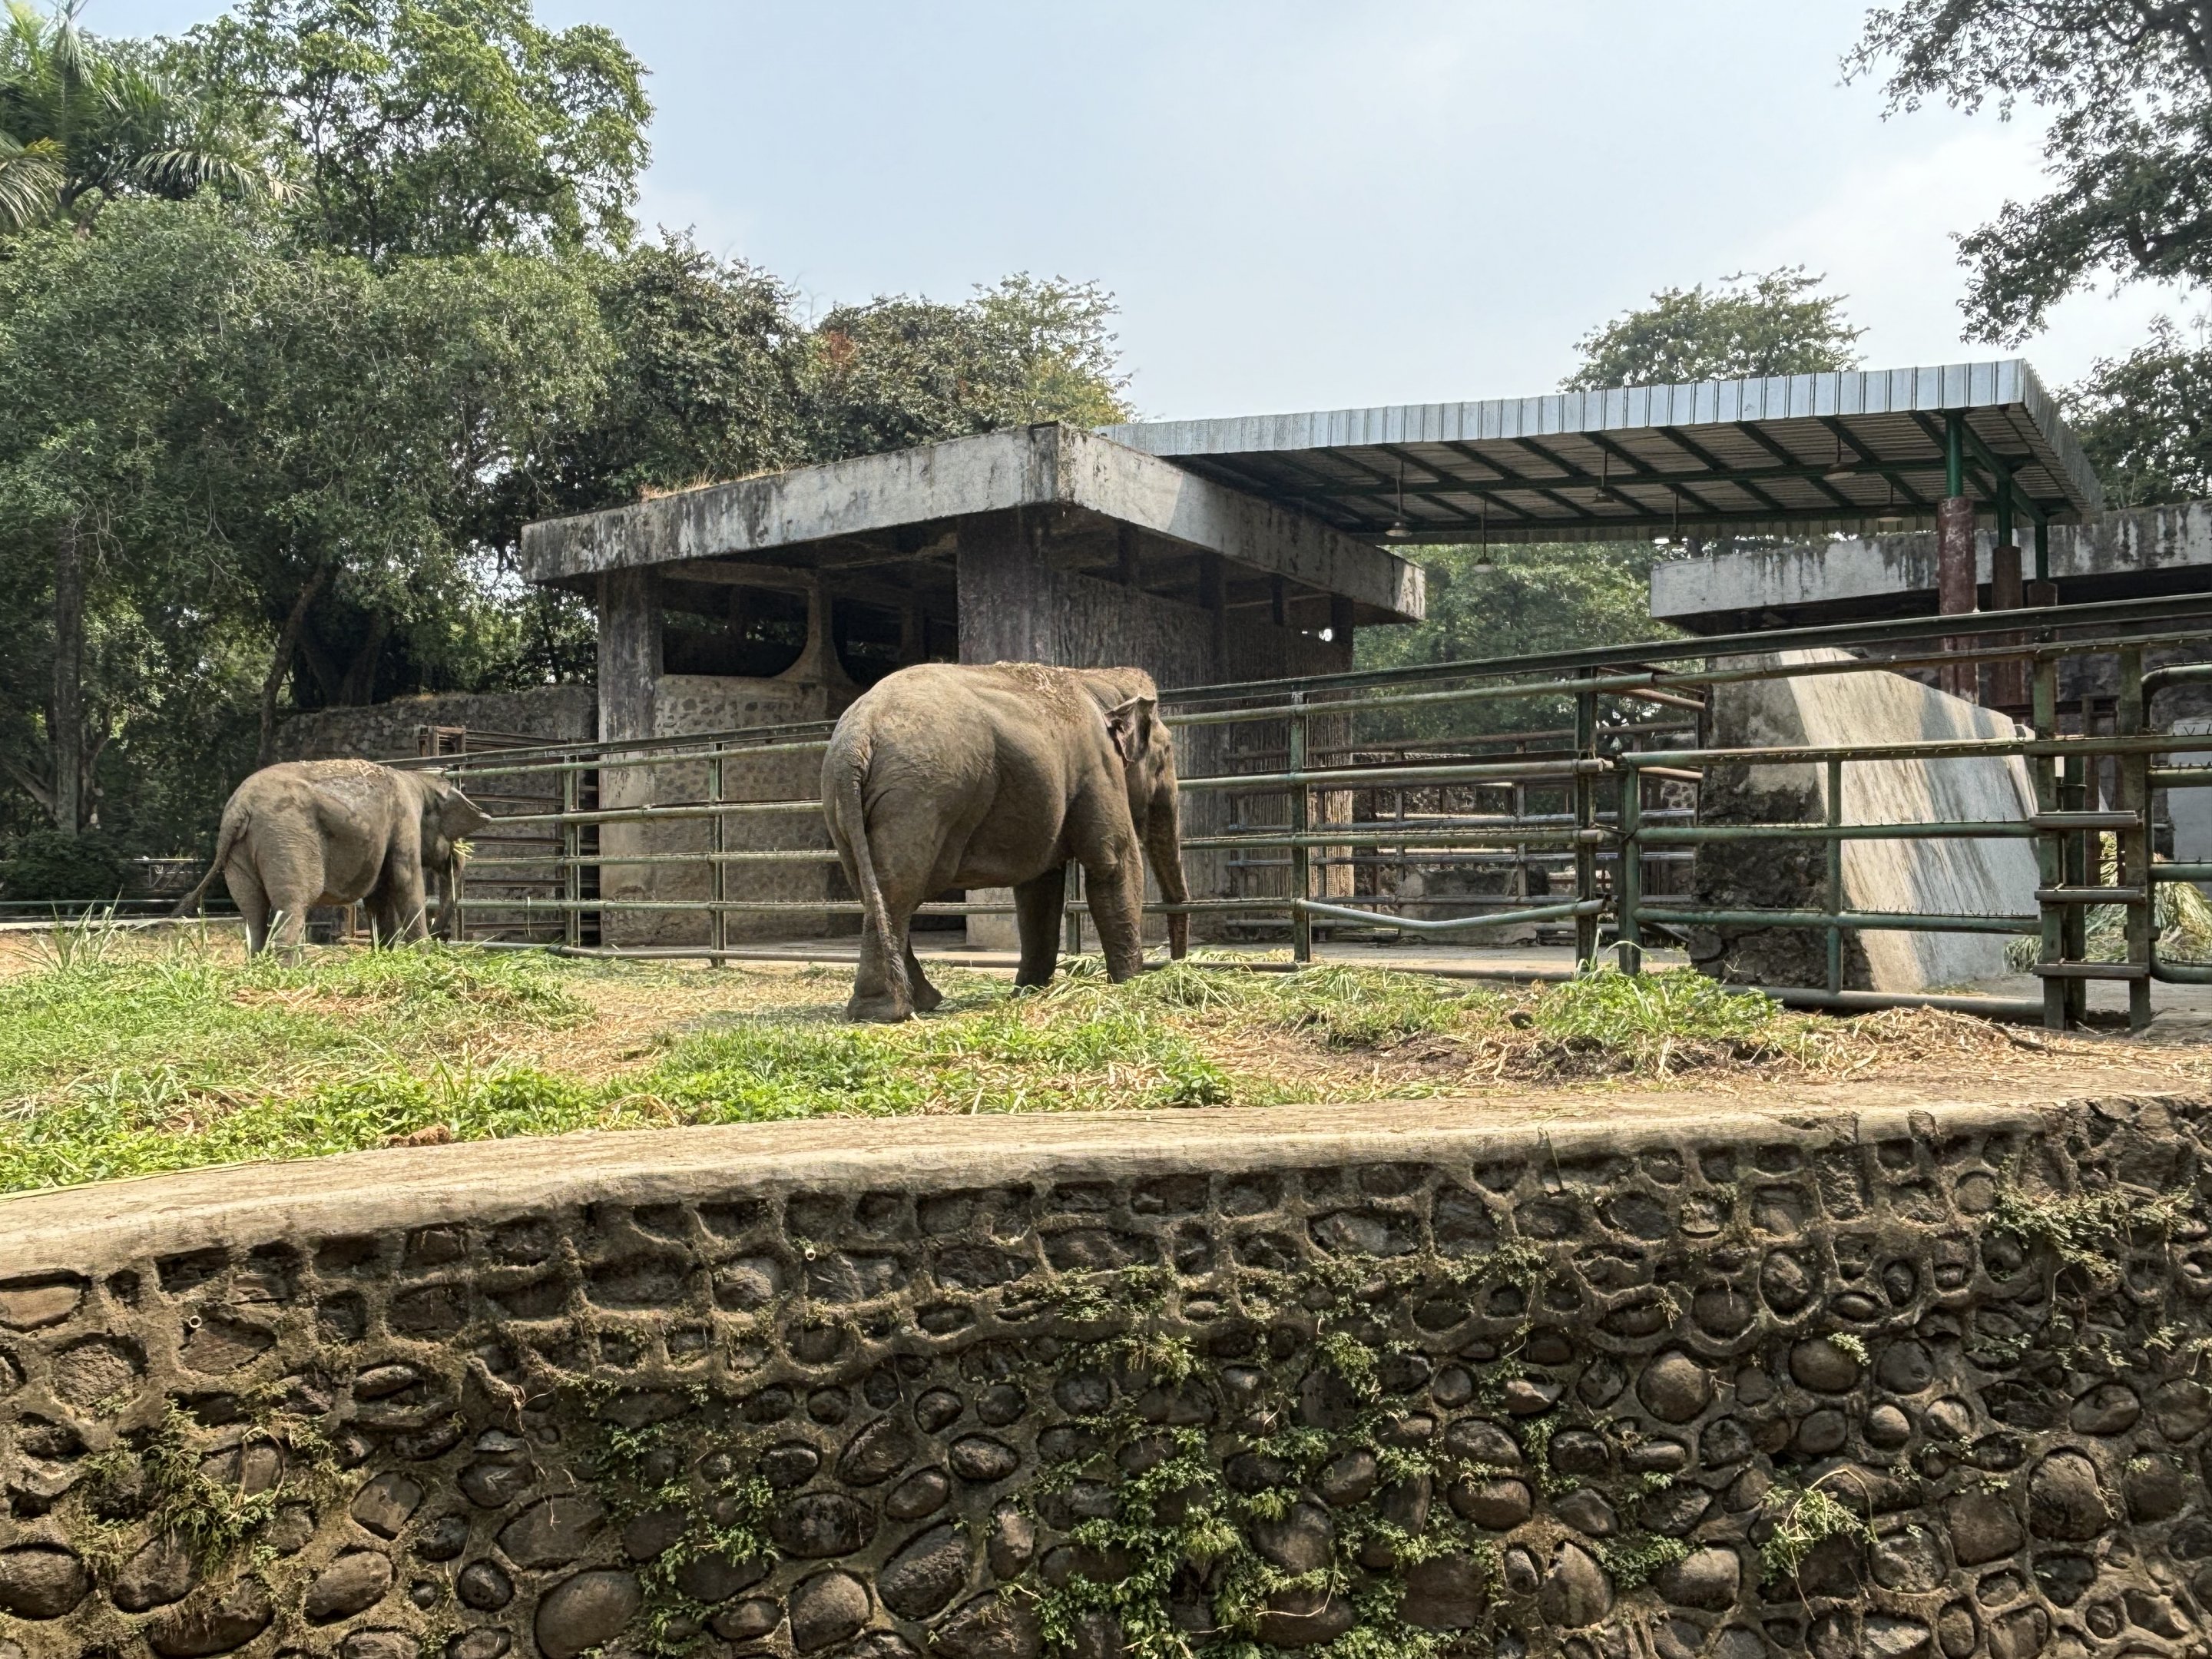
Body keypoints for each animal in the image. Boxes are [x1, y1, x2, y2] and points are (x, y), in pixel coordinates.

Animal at [174, 759, 492, 953]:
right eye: (453, 836)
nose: (443, 936)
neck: (417, 779)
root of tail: (239, 808)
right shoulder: (404, 820)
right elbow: (405, 881)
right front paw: (423, 953)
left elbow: (378, 895)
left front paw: (386, 953)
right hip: (287, 837)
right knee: (293, 905)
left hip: (240, 853)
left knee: (254, 913)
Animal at [822, 661, 1191, 1022]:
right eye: (1166, 754)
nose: (1178, 964)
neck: (1096, 679)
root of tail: (857, 737)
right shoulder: (1099, 768)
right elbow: (1114, 864)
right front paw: (1130, 985)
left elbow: (1039, 888)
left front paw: (1028, 991)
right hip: (918, 798)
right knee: (899, 891)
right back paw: (890, 1011)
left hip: (842, 805)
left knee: (875, 893)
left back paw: (909, 1005)